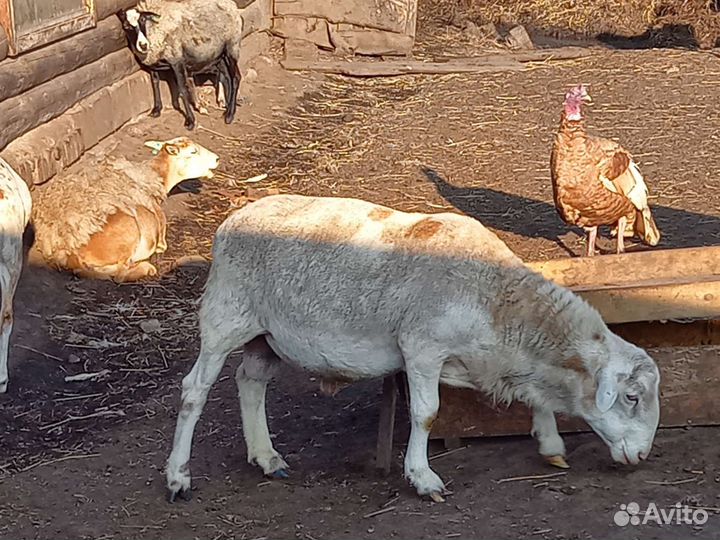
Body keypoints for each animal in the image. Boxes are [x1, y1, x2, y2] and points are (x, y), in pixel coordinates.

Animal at [32, 137, 218, 282]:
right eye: (193, 152)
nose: (217, 159)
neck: (154, 174)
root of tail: (65, 247)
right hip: (128, 234)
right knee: (119, 275)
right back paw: (146, 268)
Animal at [120, 0, 244, 130]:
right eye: (126, 26)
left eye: (143, 20)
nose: (143, 45)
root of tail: (232, 4)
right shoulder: (153, 62)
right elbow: (155, 83)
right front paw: (156, 109)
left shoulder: (176, 60)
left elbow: (182, 88)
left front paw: (190, 120)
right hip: (220, 53)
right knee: (227, 76)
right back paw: (227, 106)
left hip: (232, 46)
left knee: (236, 77)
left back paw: (230, 115)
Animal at [165, 194, 661, 503]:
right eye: (631, 397)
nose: (642, 458)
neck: (496, 298)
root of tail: (232, 220)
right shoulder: (422, 348)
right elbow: (425, 413)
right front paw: (423, 478)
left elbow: (533, 395)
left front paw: (551, 443)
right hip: (226, 317)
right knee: (194, 392)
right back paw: (178, 476)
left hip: (267, 337)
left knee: (250, 382)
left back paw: (267, 458)